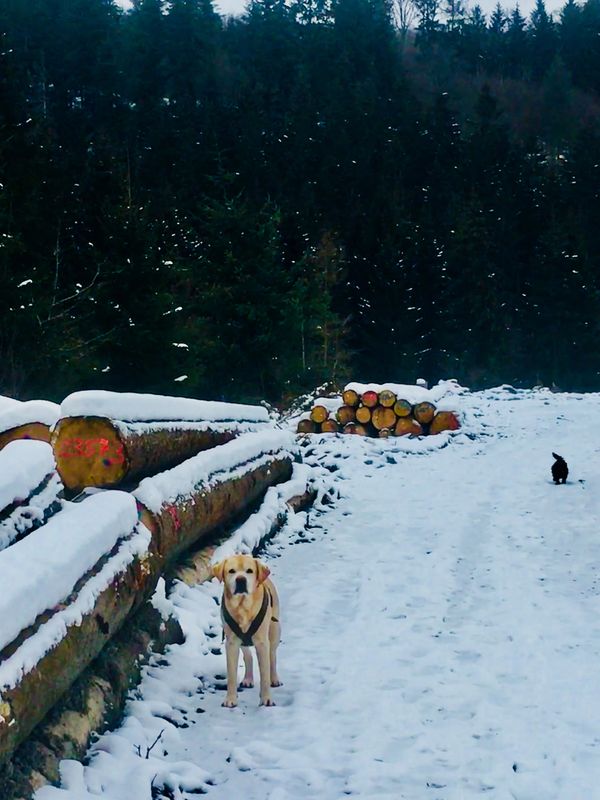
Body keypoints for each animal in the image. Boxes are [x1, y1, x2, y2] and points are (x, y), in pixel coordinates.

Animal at [212, 556, 282, 708]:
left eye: (249, 571)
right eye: (231, 571)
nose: (240, 579)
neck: (242, 606)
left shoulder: (262, 643)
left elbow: (264, 673)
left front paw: (266, 699)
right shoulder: (231, 643)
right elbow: (231, 675)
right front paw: (230, 699)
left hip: (274, 630)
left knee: (272, 656)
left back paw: (274, 678)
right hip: (241, 639)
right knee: (248, 655)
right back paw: (248, 679)